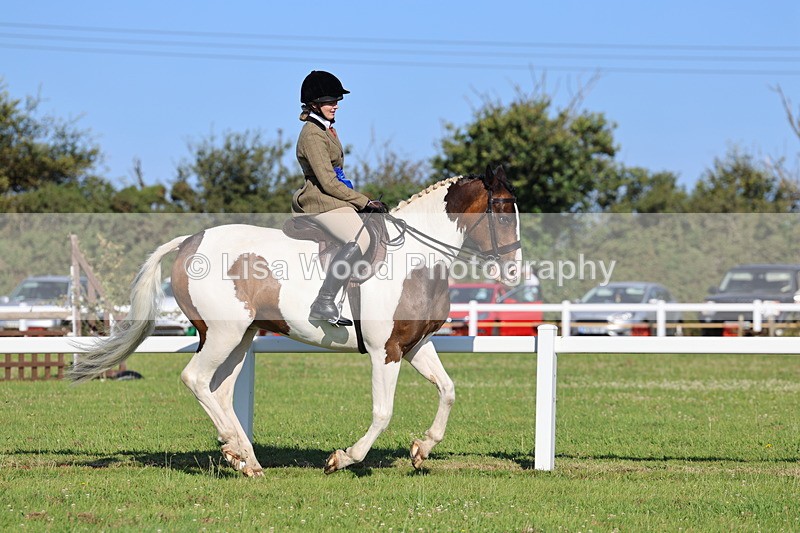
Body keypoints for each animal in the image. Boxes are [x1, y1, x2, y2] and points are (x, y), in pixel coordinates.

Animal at [71, 165, 522, 476]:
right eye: (503, 214)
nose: (515, 273)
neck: (416, 258)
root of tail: (190, 241)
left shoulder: (414, 346)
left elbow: (448, 391)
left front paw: (422, 448)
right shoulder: (386, 350)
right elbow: (383, 412)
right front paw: (343, 458)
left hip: (240, 337)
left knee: (221, 391)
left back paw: (246, 459)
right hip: (223, 333)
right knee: (196, 379)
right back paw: (235, 449)